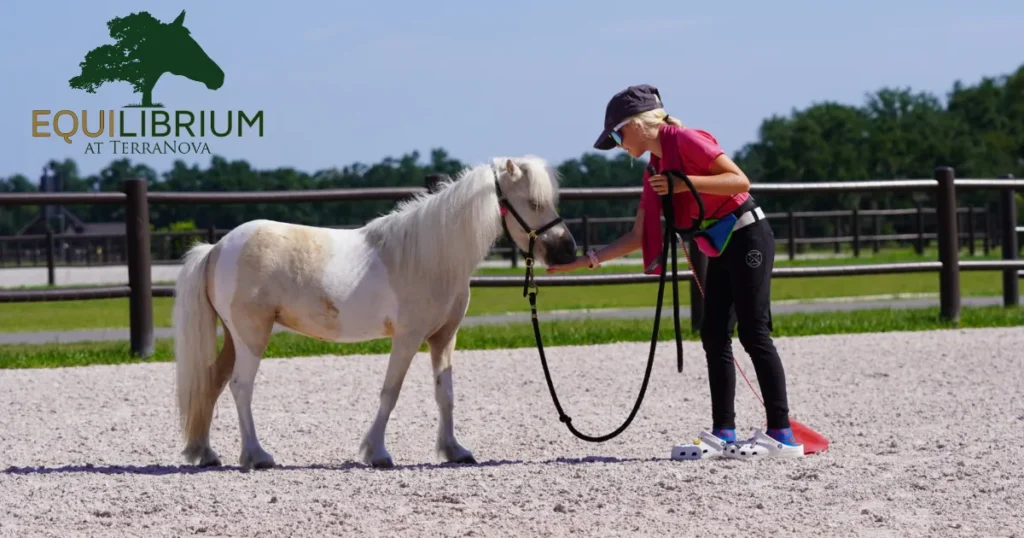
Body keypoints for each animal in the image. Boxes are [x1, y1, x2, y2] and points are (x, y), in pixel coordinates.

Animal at [172, 156, 578, 470]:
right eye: (534, 202)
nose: (568, 251)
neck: (431, 255)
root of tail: (217, 247)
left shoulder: (443, 338)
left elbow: (444, 393)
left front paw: (454, 450)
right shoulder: (408, 338)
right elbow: (390, 392)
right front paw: (377, 453)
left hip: (233, 338)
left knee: (212, 382)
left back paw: (205, 453)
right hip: (251, 336)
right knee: (241, 386)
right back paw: (256, 456)